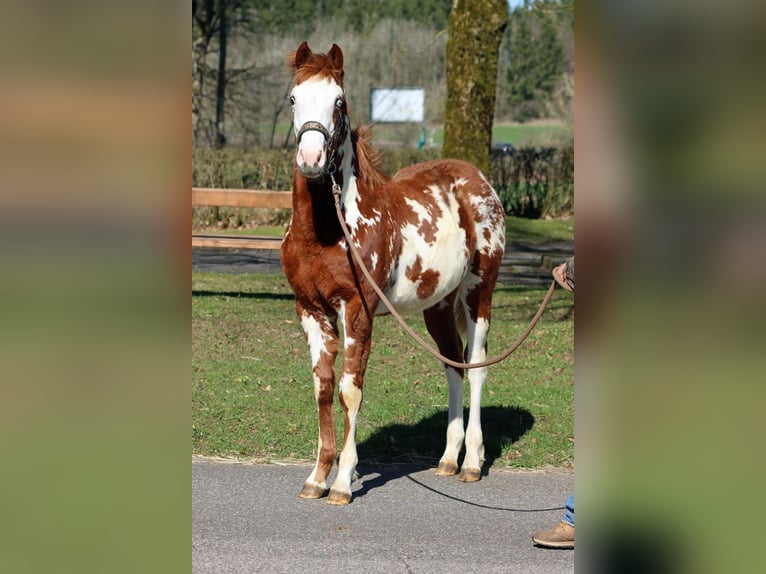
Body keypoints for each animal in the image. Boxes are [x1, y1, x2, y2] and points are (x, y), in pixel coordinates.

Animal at [280, 42, 506, 505]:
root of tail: (478, 181)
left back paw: (472, 463)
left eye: (340, 102)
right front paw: (317, 476)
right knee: (453, 365)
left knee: (476, 365)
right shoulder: (310, 309)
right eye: (293, 99)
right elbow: (323, 388)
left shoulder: (356, 309)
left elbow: (350, 390)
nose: (311, 159)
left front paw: (343, 482)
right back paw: (448, 459)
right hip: (437, 305)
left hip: (479, 293)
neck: (326, 232)